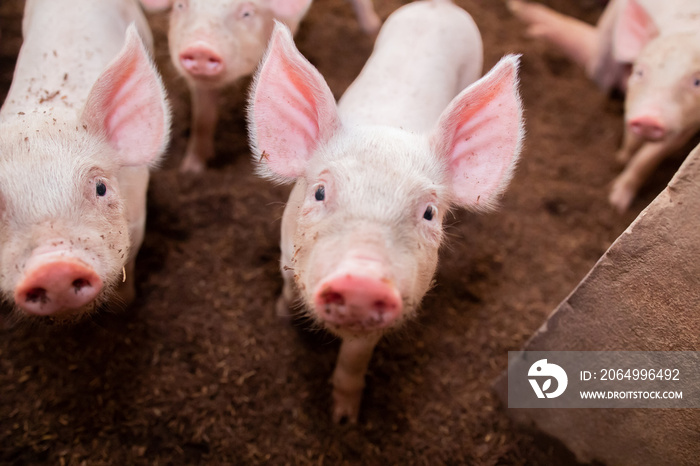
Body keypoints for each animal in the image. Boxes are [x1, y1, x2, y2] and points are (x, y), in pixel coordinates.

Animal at [139, 0, 380, 174]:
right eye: (180, 6)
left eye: (247, 13)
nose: (200, 49)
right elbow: (203, 118)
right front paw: (191, 170)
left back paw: (372, 26)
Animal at [249, 0, 524, 424]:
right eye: (320, 192)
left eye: (429, 213)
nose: (362, 280)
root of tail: (439, 5)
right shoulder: (284, 251)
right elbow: (286, 286)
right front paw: (281, 315)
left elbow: (353, 362)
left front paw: (344, 420)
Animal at [506, 0, 700, 211]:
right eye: (639, 72)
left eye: (697, 82)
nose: (649, 119)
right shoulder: (632, 105)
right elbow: (630, 140)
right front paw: (620, 158)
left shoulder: (686, 127)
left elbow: (647, 159)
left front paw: (617, 203)